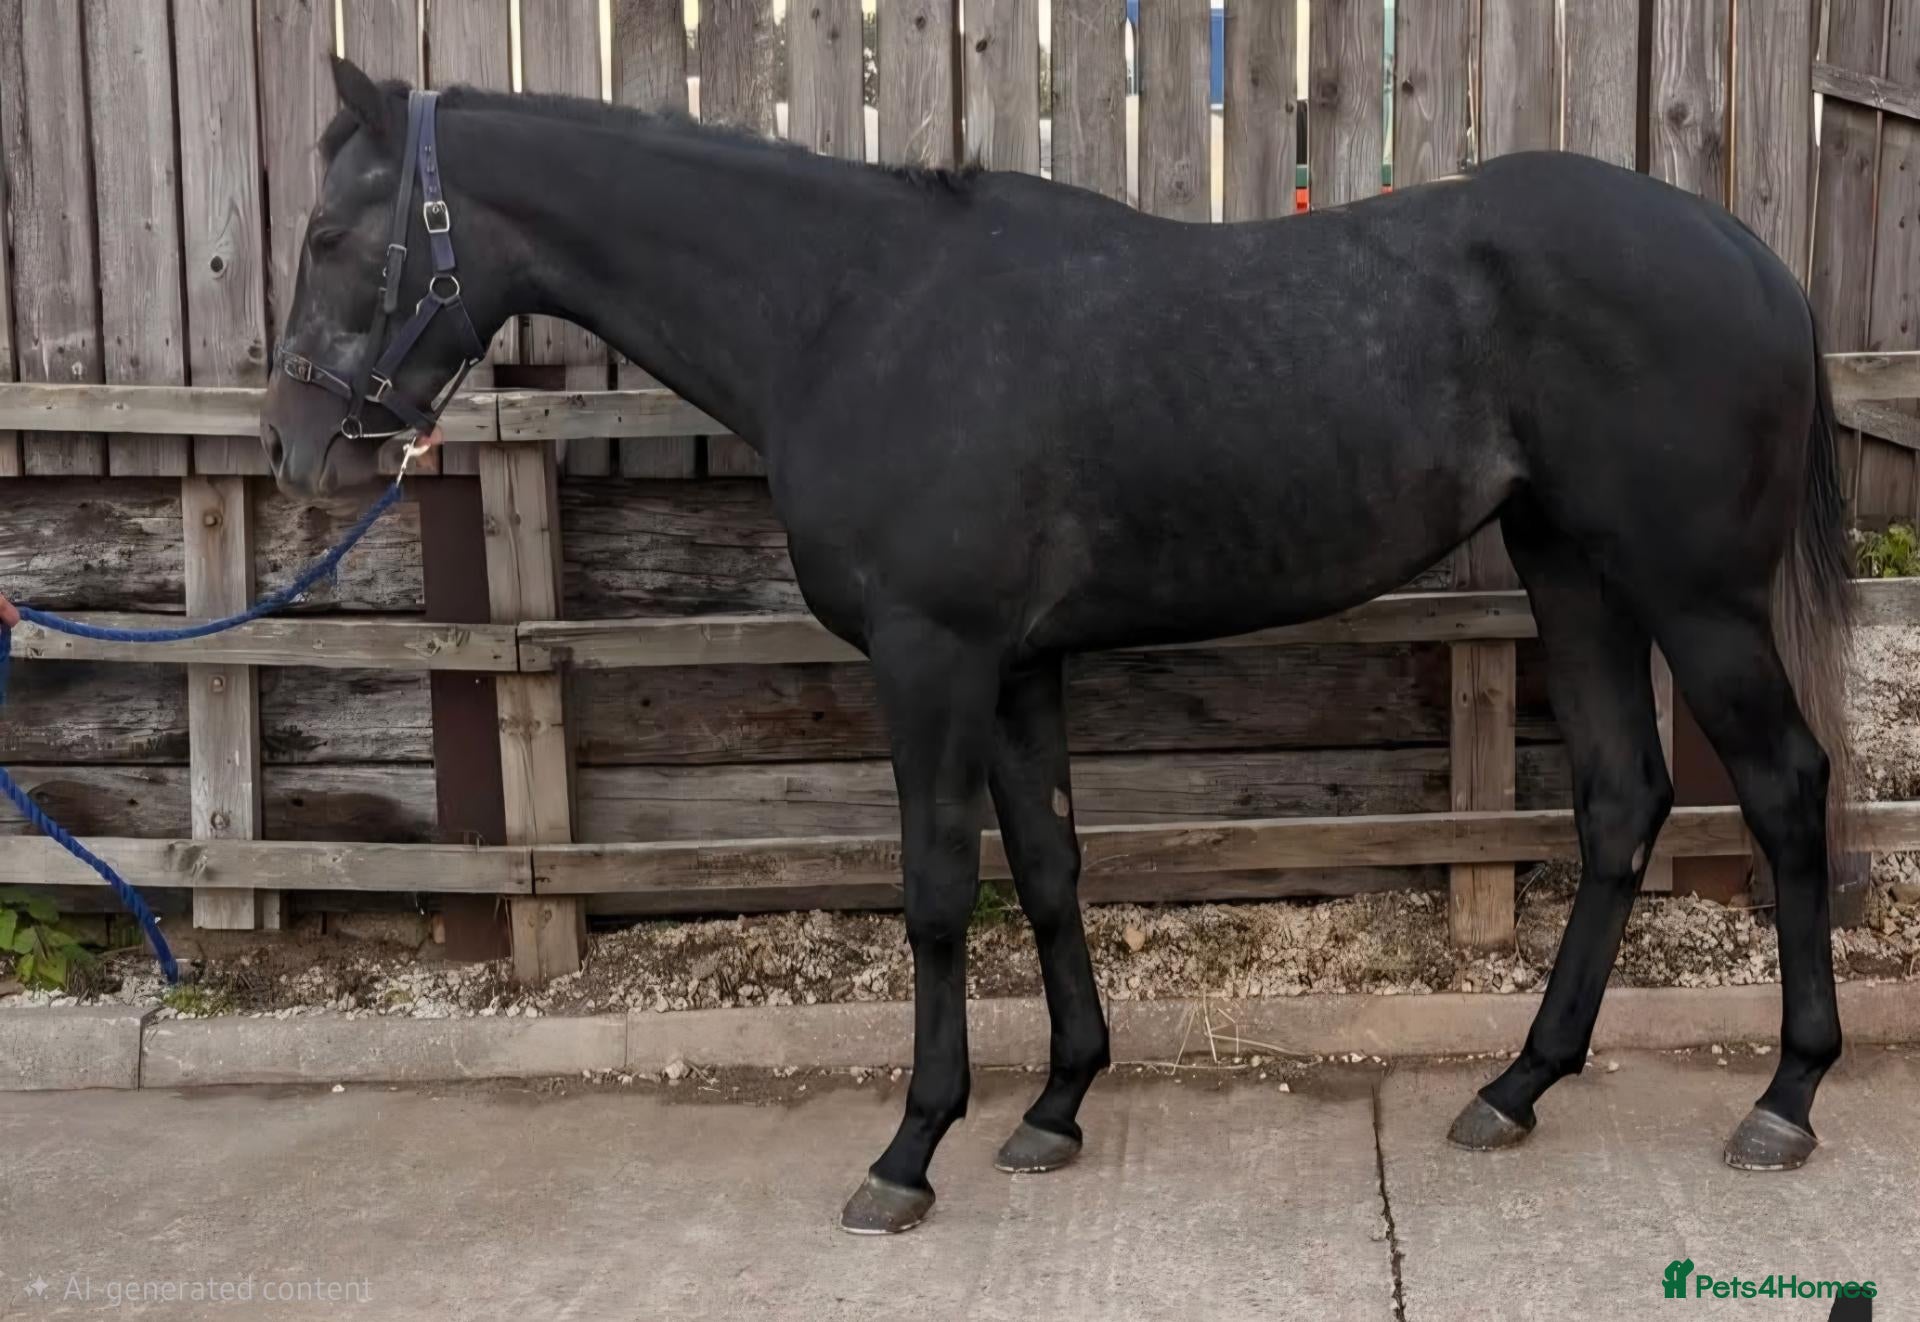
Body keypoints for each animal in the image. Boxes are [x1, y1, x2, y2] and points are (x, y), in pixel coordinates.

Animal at [263, 58, 1855, 1234]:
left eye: (334, 238)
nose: (297, 451)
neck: (851, 312)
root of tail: (1751, 254)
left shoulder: (932, 658)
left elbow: (932, 891)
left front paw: (910, 1148)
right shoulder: (1018, 665)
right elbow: (1046, 867)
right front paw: (1055, 1104)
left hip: (1694, 597)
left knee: (1783, 788)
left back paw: (1784, 1097)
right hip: (1570, 570)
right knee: (1619, 799)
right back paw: (1520, 1082)